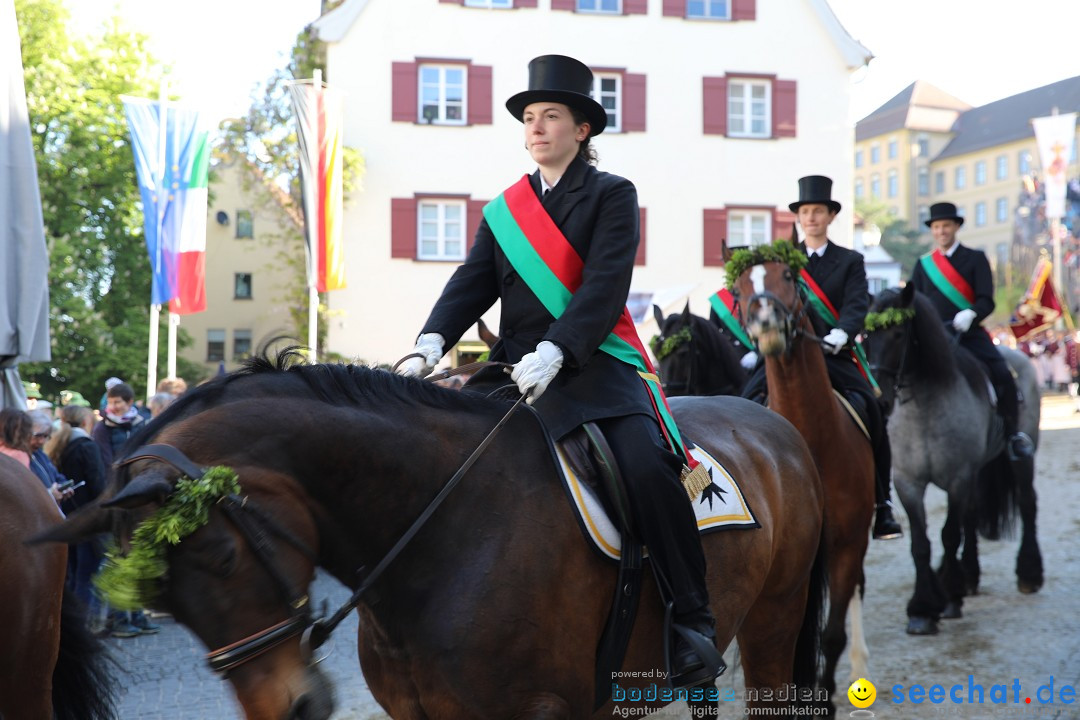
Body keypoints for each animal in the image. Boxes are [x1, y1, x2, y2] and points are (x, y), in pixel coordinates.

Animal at [864, 287, 1041, 634]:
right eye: (866, 335)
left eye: (898, 333)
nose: (880, 398)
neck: (923, 408)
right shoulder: (908, 483)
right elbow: (921, 543)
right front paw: (922, 609)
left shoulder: (958, 477)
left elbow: (948, 534)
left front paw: (947, 599)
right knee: (970, 516)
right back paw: (968, 575)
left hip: (1020, 456)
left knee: (1027, 502)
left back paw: (1028, 574)